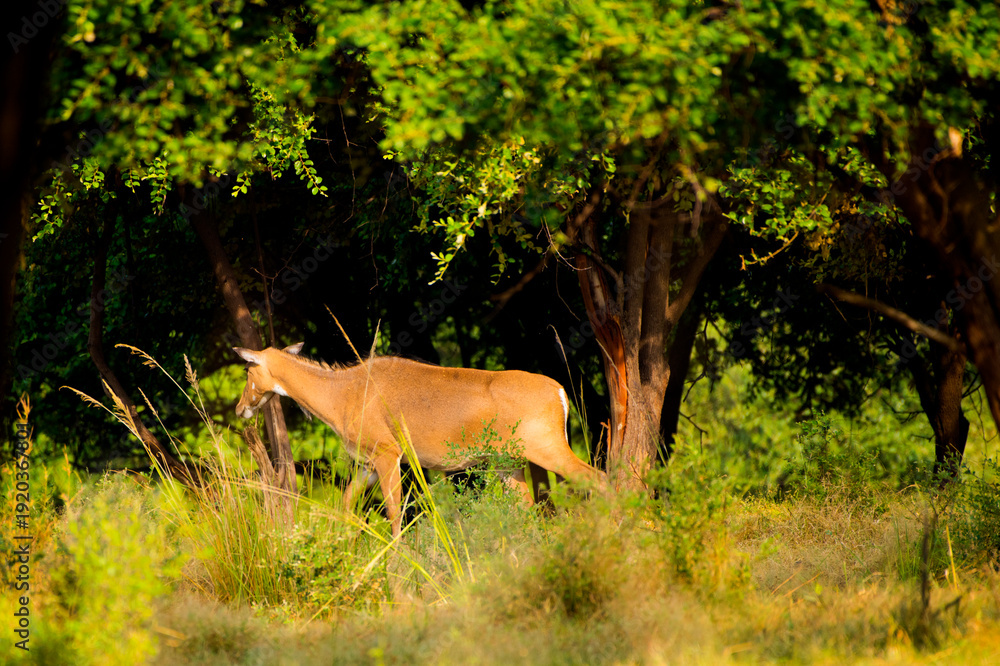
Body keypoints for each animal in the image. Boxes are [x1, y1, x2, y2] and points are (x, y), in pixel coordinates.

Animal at [233, 343, 604, 536]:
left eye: (248, 371)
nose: (239, 408)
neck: (341, 397)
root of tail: (561, 393)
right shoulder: (367, 463)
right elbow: (346, 502)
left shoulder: (388, 452)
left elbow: (396, 512)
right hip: (508, 462)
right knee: (527, 506)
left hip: (546, 445)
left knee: (597, 478)